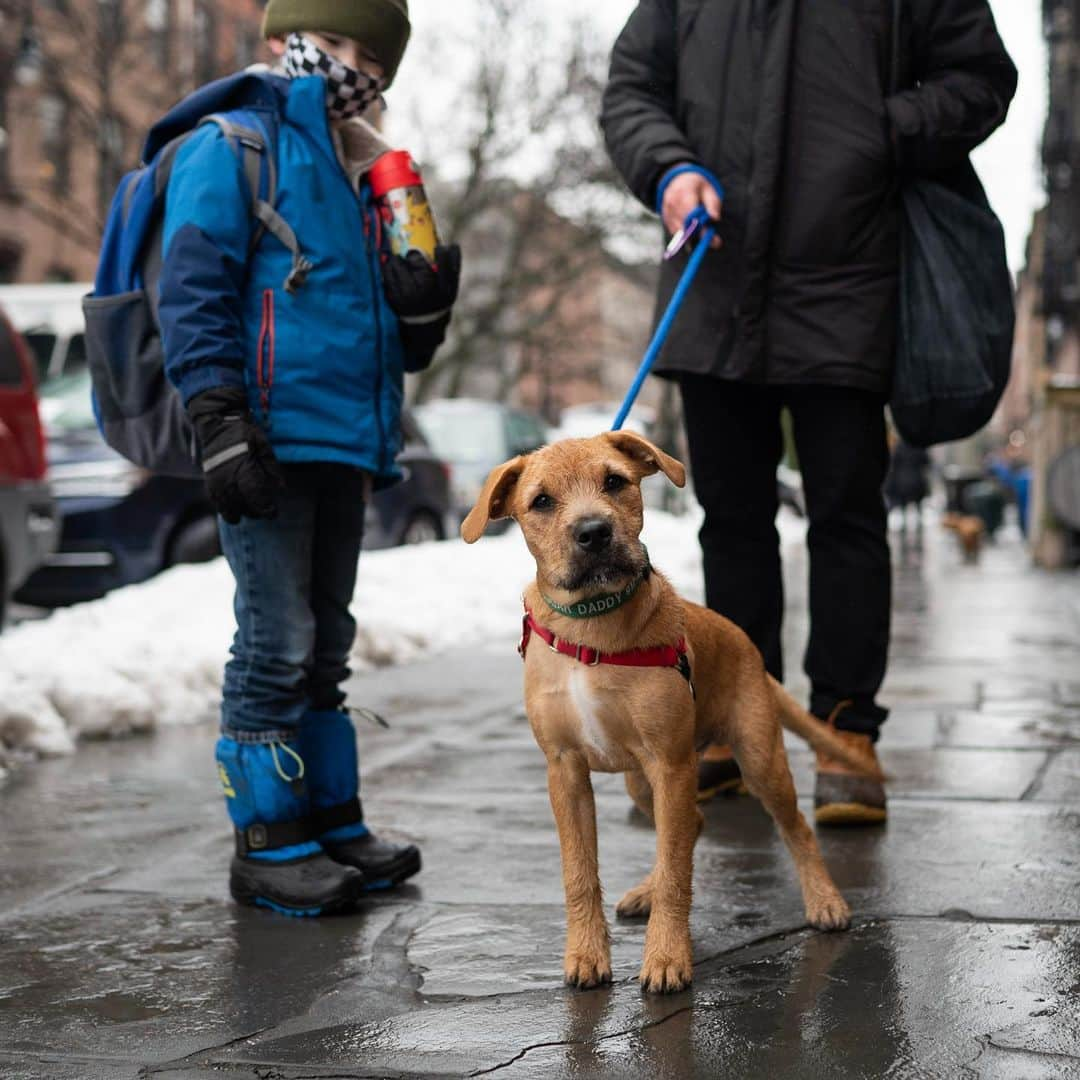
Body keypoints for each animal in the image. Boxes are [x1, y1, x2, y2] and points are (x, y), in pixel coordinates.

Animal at [462, 429, 876, 993]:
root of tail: (746, 644)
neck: (591, 624)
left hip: (757, 760)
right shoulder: (565, 770)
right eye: (541, 501)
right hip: (642, 781)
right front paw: (586, 953)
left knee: (793, 829)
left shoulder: (671, 763)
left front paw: (665, 956)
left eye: (615, 481)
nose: (594, 532)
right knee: (692, 823)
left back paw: (826, 901)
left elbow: (678, 872)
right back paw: (646, 890)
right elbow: (580, 872)